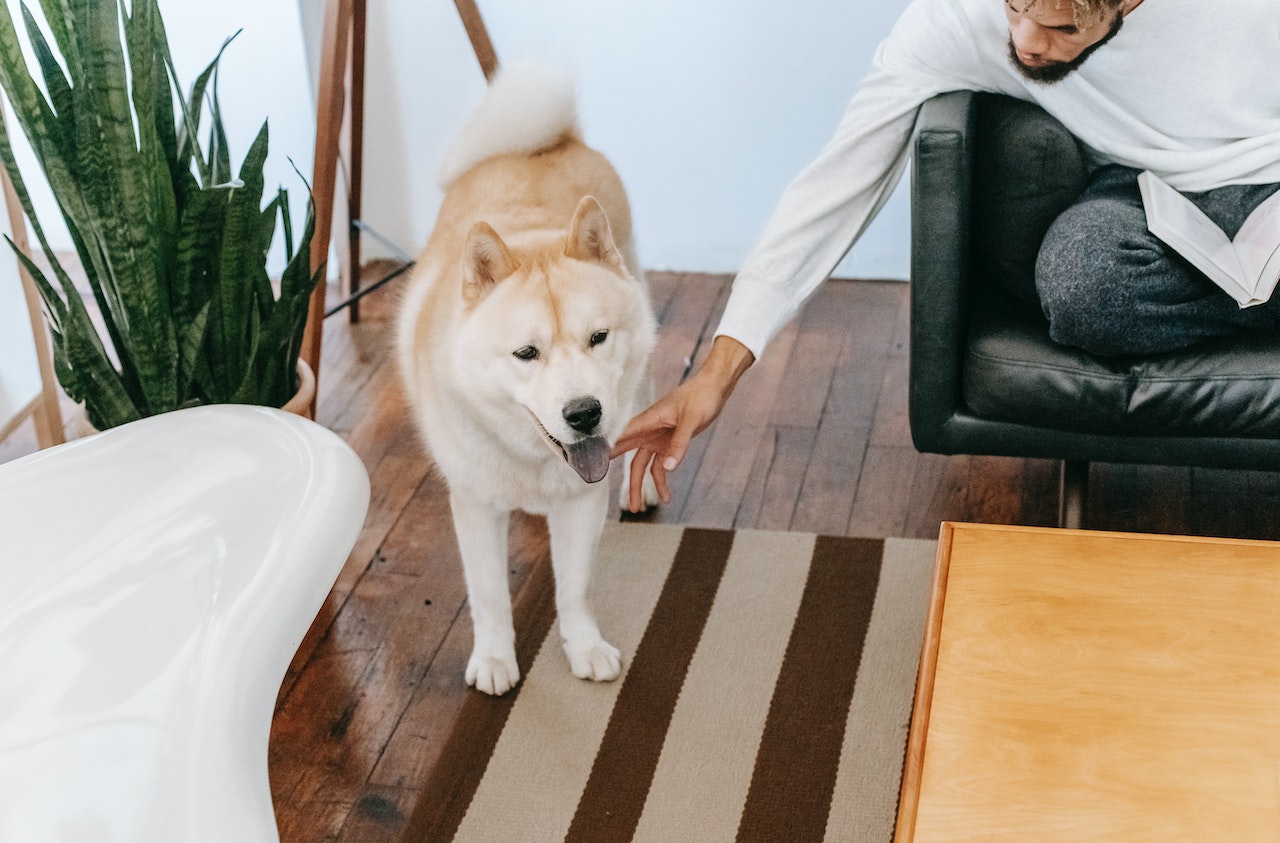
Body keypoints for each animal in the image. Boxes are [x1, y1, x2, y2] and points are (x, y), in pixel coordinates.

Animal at [396, 64, 660, 701]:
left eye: (598, 338)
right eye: (526, 354)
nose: (585, 413)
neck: (534, 460)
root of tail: (546, 141)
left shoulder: (583, 501)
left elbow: (576, 587)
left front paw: (584, 647)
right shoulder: (474, 504)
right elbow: (490, 593)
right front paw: (494, 659)